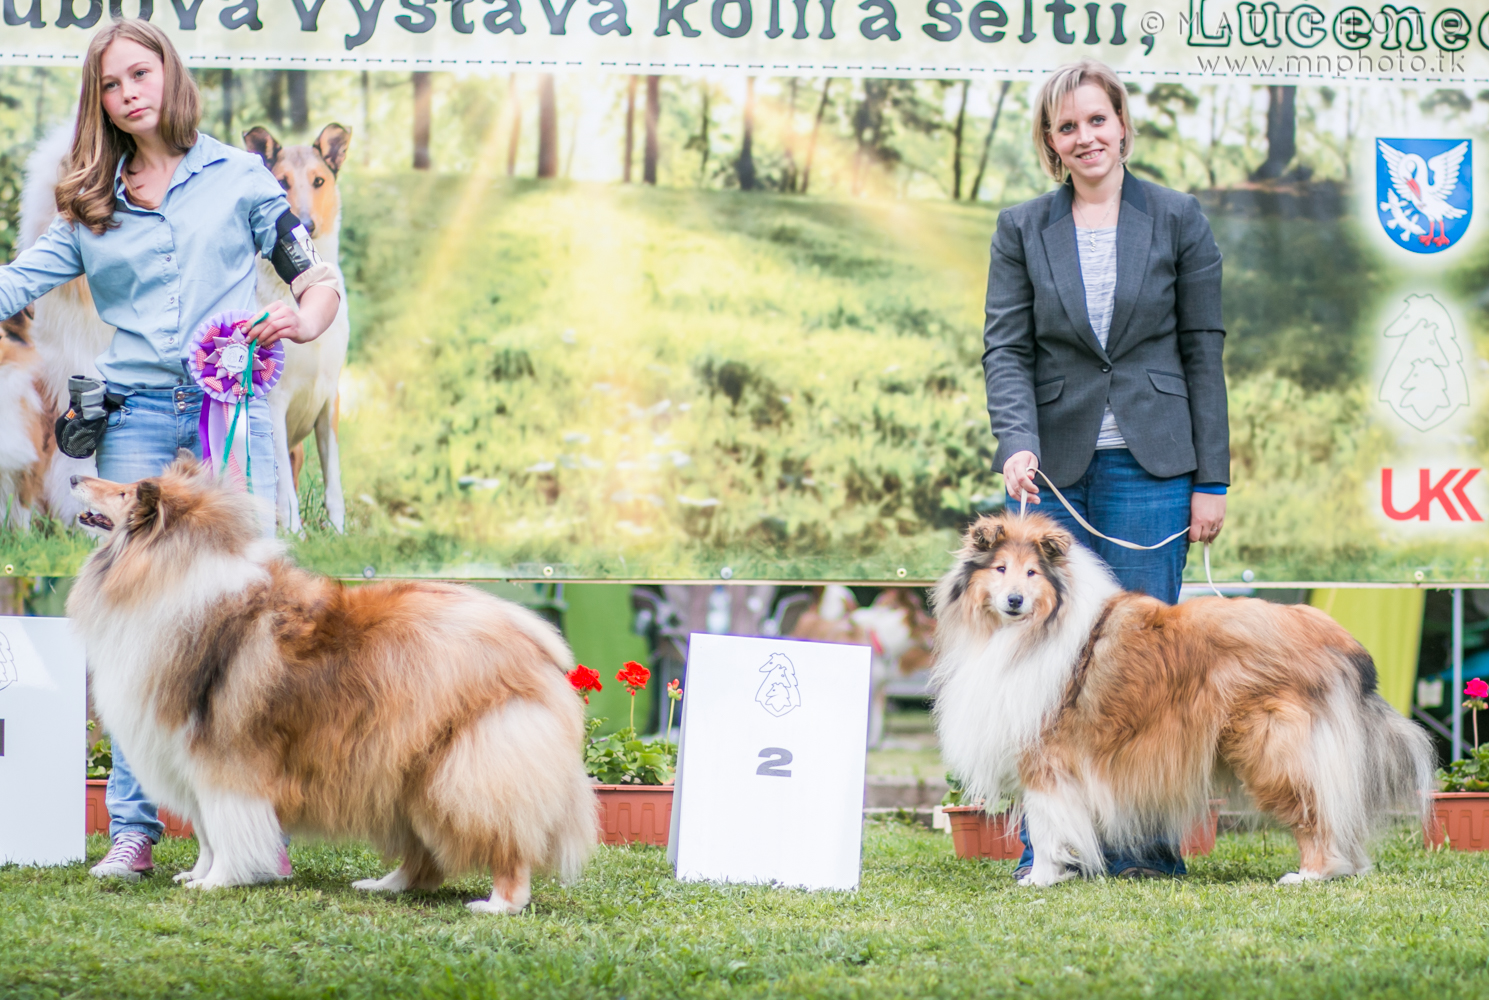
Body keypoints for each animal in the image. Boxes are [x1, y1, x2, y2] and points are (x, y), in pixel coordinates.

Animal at [66, 455, 595, 913]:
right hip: (407, 769)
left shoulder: (224, 761)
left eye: (124, 491)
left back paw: (499, 904)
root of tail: (532, 635)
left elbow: (224, 828)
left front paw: (217, 882)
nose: (73, 478)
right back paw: (384, 885)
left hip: (464, 768)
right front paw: (198, 875)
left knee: (507, 839)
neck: (166, 571)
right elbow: (207, 834)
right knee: (424, 855)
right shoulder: (188, 758)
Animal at [243, 124, 352, 535]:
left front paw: (338, 533)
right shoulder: (273, 401)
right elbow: (283, 489)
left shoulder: (330, 399)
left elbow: (333, 476)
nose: (304, 224)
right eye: (282, 181)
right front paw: (295, 533)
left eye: (319, 181)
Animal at [931, 512, 1434, 887]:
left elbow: (1046, 823)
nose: (1014, 600)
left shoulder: (1046, 757)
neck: (1031, 631)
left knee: (1315, 812)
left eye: (1032, 573)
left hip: (1272, 749)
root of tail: (1335, 637)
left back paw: (1312, 873)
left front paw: (1040, 878)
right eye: (1000, 569)